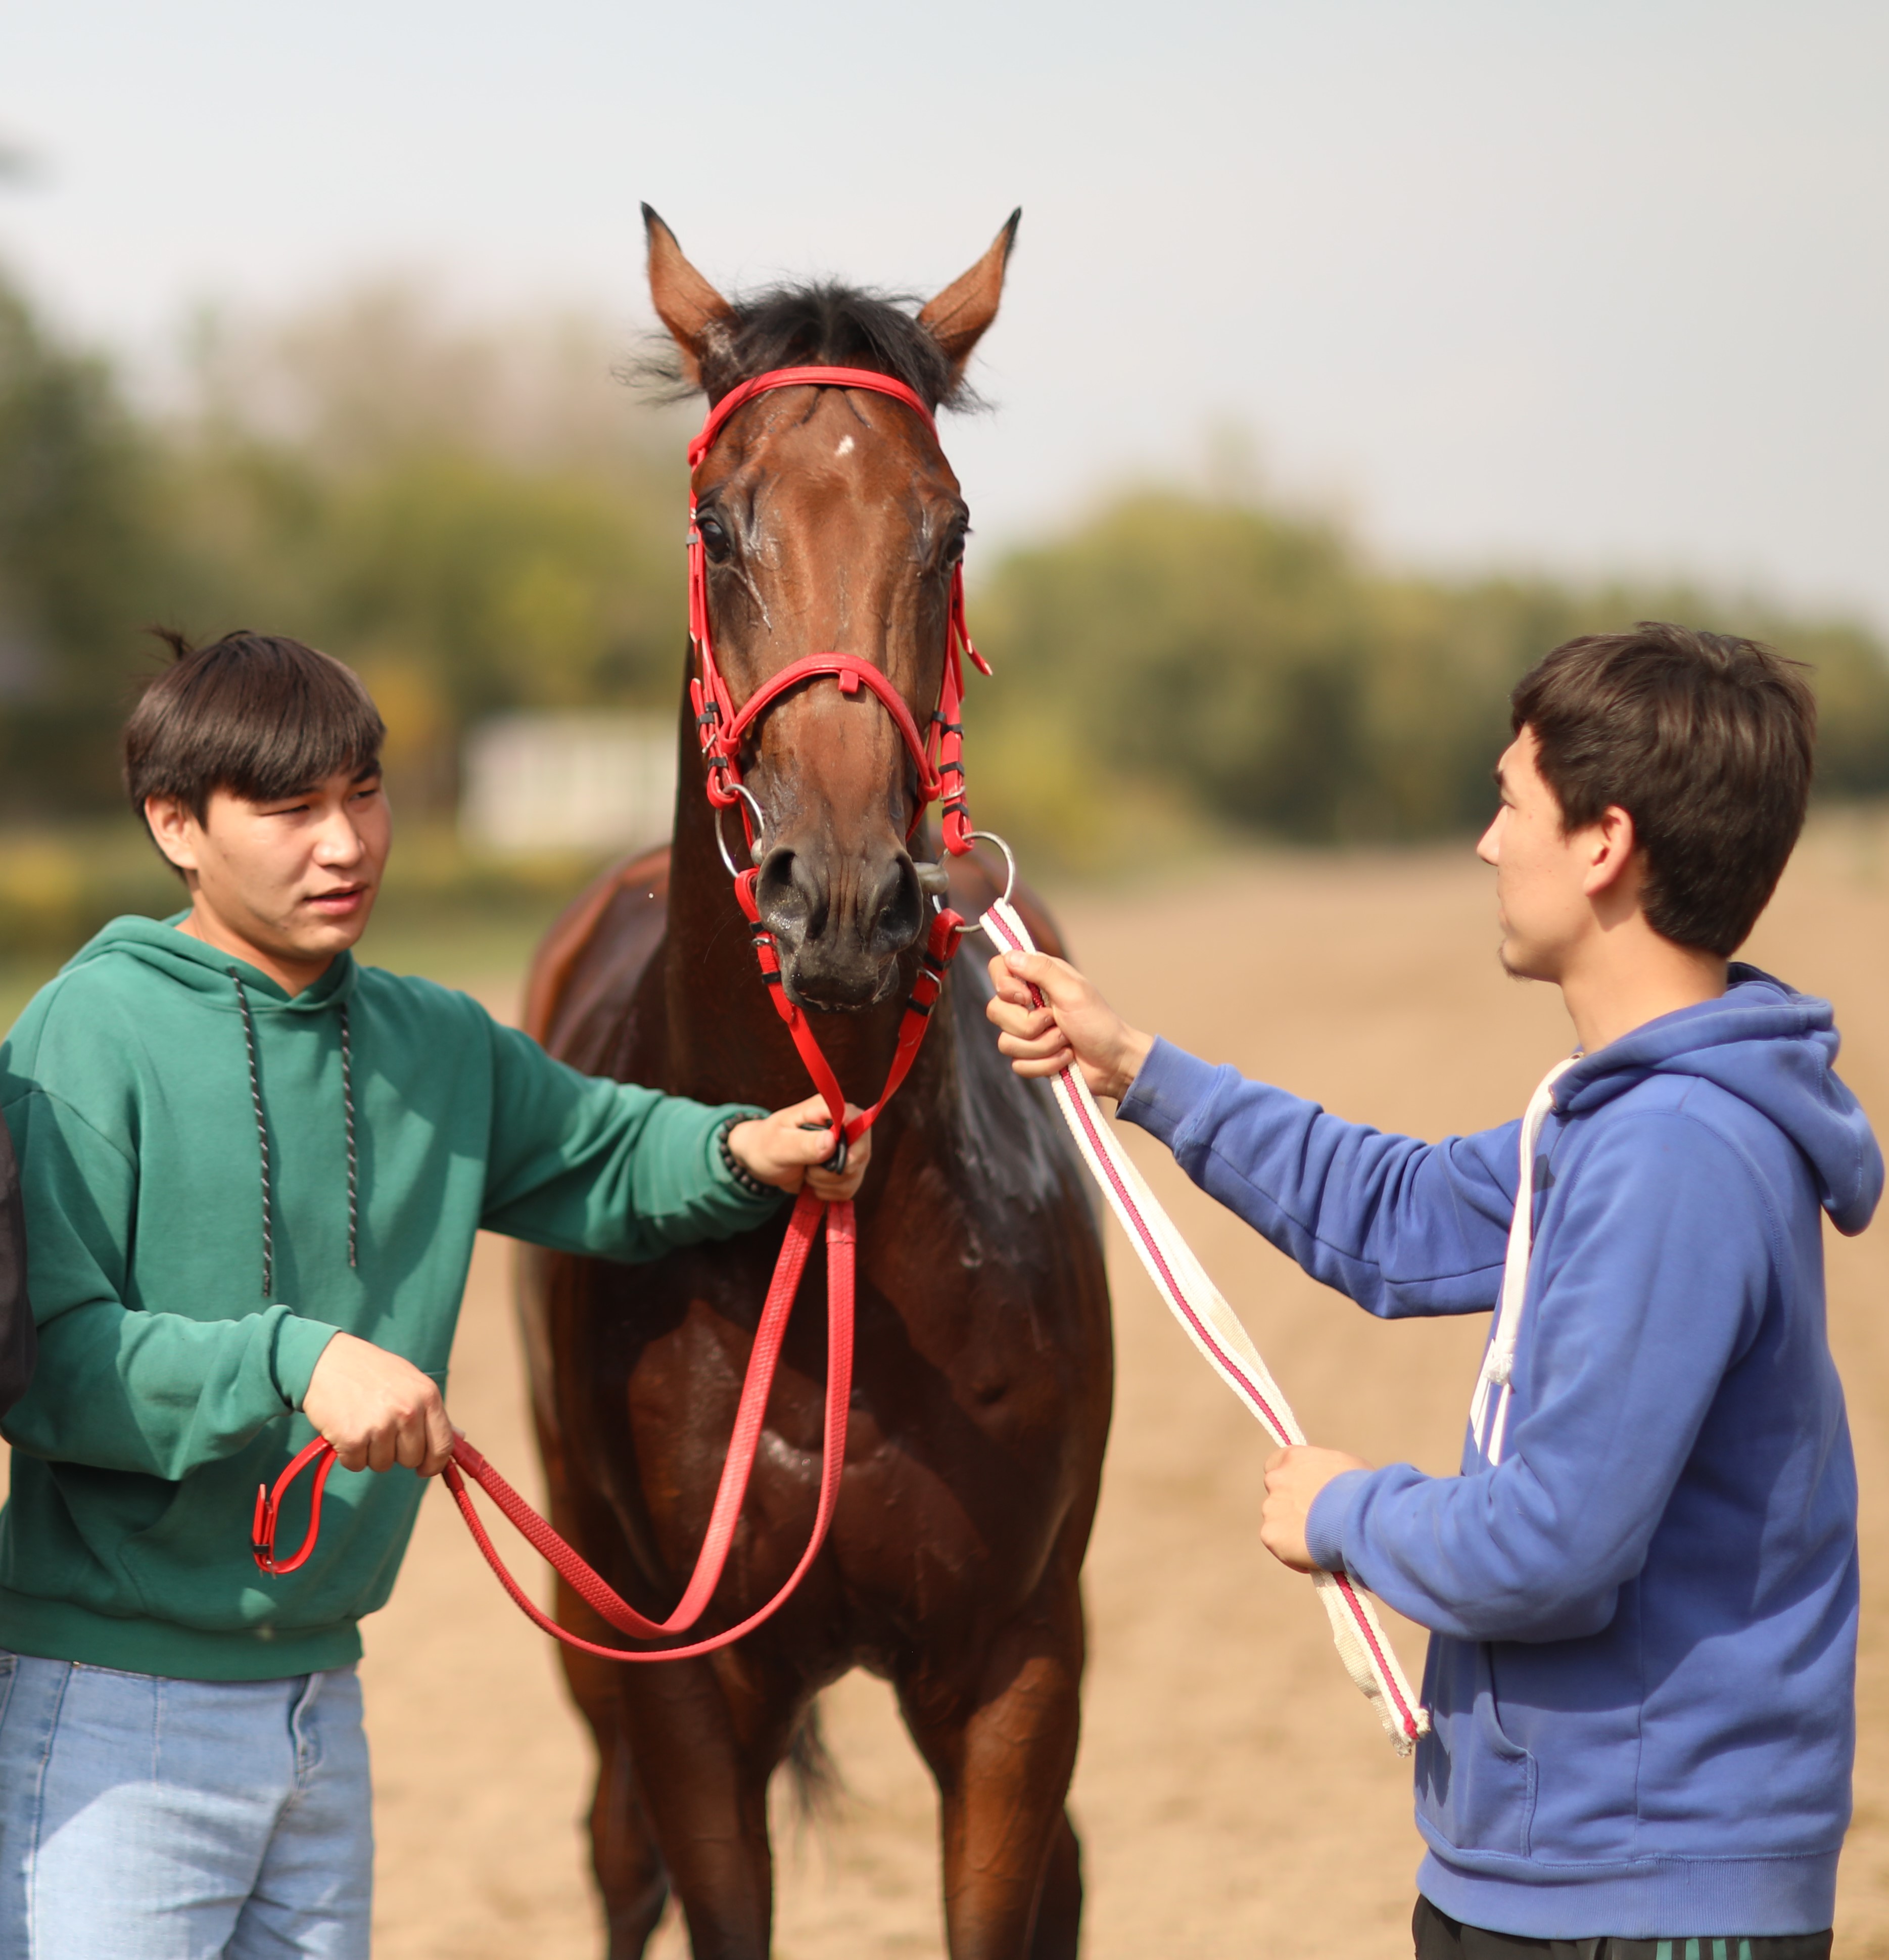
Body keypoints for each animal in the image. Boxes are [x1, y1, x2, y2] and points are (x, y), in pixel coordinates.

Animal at [509, 207, 1113, 1952]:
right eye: (720, 524)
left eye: (949, 527)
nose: (839, 900)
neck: (840, 1222)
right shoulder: (688, 1680)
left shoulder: (1017, 1665)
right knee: (613, 1850)